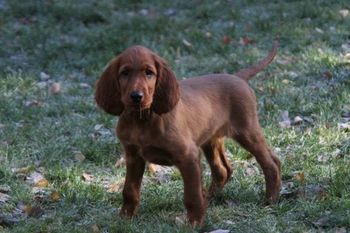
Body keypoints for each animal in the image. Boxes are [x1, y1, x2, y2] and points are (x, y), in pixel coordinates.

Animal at [95, 39, 282, 226]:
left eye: (149, 73)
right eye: (124, 73)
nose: (136, 96)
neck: (142, 119)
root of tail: (237, 77)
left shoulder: (188, 156)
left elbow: (192, 195)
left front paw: (194, 222)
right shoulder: (133, 156)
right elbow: (129, 190)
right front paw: (125, 217)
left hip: (247, 132)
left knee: (270, 163)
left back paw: (270, 200)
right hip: (211, 140)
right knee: (224, 170)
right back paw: (209, 198)